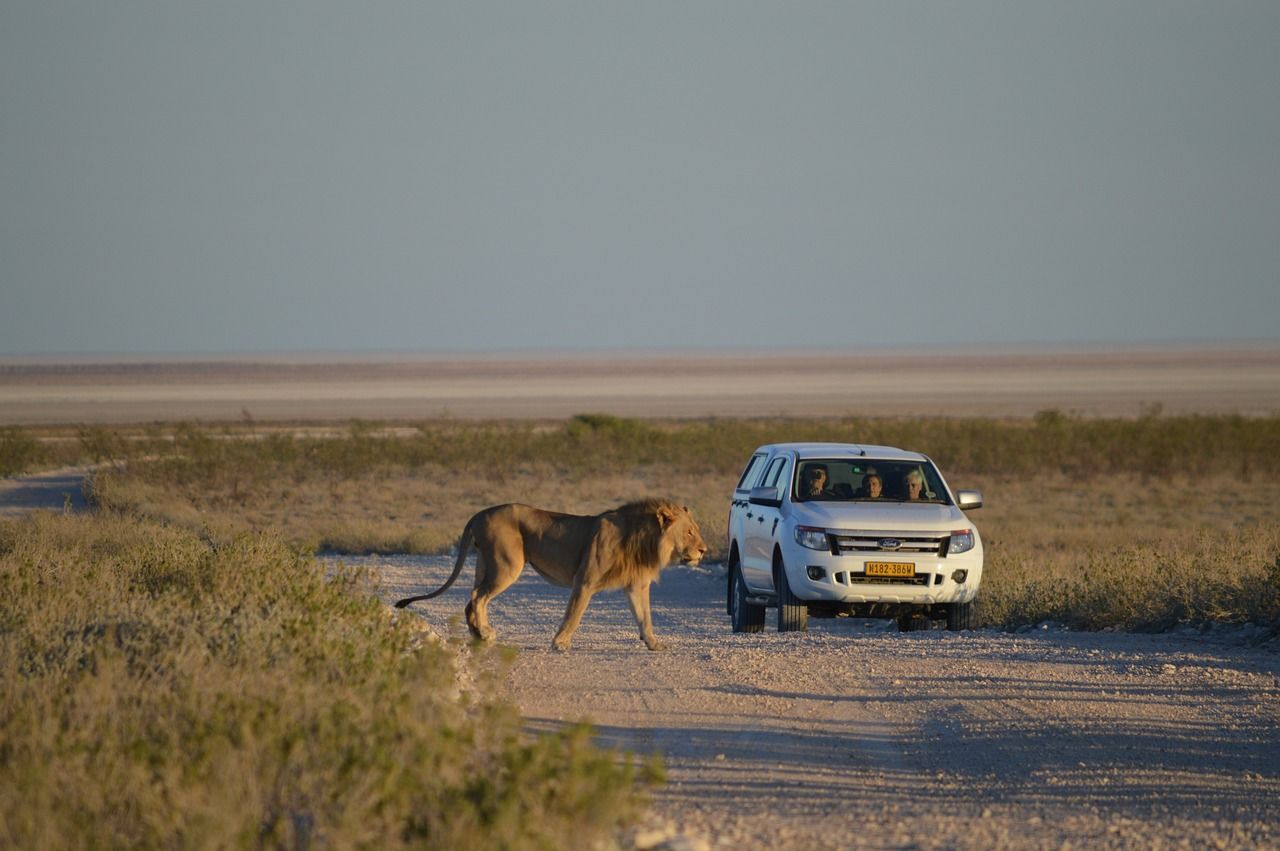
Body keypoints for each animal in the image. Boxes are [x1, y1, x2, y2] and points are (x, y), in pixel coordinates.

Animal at [394, 499, 706, 650]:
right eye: (690, 531)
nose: (704, 550)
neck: (645, 539)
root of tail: (479, 513)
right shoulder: (585, 579)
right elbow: (573, 614)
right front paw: (560, 644)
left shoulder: (637, 586)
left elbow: (645, 618)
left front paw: (654, 644)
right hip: (507, 564)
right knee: (477, 597)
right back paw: (484, 633)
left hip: (486, 563)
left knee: (471, 599)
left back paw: (479, 634)